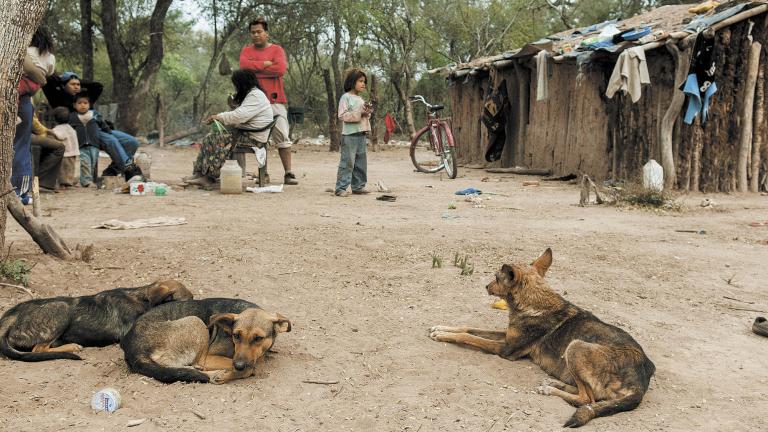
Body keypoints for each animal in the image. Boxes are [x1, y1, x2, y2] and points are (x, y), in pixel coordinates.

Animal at [0, 280, 192, 362]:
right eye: (188, 300)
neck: (142, 300)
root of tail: (10, 315)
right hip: (61, 307)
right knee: (38, 349)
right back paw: (72, 346)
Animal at [121, 296, 292, 384]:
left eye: (258, 338)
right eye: (236, 335)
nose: (238, 365)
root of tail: (132, 349)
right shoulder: (209, 357)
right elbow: (250, 368)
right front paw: (226, 374)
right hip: (196, 323)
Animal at [428, 248, 656, 426]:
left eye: (496, 277)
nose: (485, 286)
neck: (534, 301)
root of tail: (642, 379)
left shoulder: (505, 349)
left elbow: (471, 338)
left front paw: (441, 334)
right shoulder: (507, 336)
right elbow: (469, 328)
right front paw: (441, 327)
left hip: (576, 346)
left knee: (587, 399)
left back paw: (550, 390)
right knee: (587, 394)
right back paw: (553, 384)